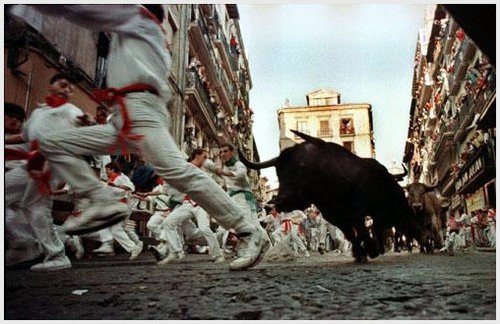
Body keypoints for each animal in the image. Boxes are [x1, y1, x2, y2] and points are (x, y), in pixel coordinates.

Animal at [238, 130, 422, 262]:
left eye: (302, 167)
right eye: (278, 172)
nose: (279, 201)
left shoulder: (356, 211)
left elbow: (361, 230)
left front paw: (370, 250)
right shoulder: (334, 217)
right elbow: (351, 234)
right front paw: (360, 252)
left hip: (398, 207)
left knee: (407, 224)